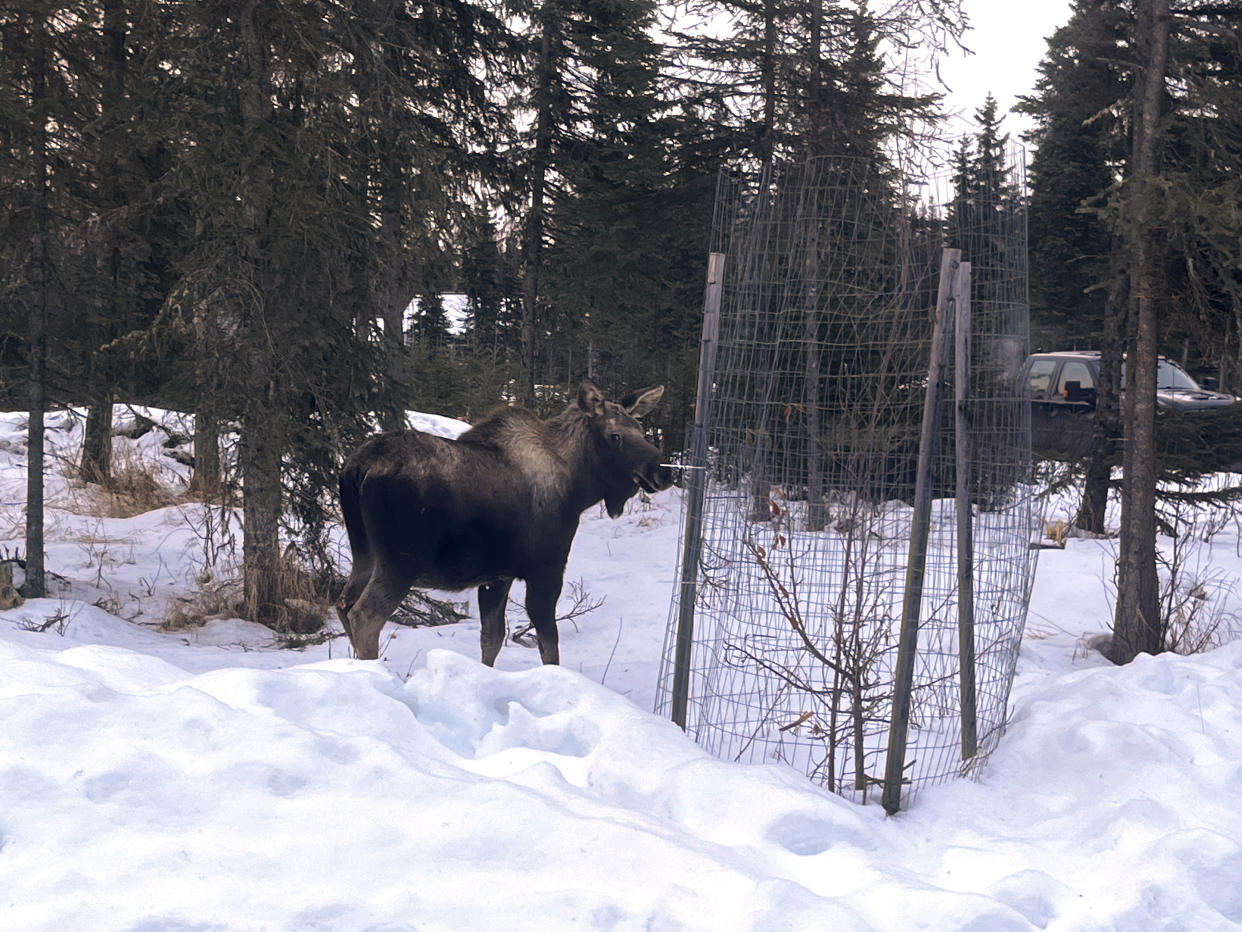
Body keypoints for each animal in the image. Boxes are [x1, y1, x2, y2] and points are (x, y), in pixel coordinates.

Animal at [335, 380, 675, 666]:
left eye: (641, 429)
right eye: (615, 436)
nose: (663, 471)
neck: (578, 487)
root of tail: (357, 469)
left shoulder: (497, 577)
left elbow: (492, 639)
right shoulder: (546, 569)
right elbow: (549, 646)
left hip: (365, 553)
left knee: (344, 604)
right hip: (400, 562)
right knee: (365, 615)